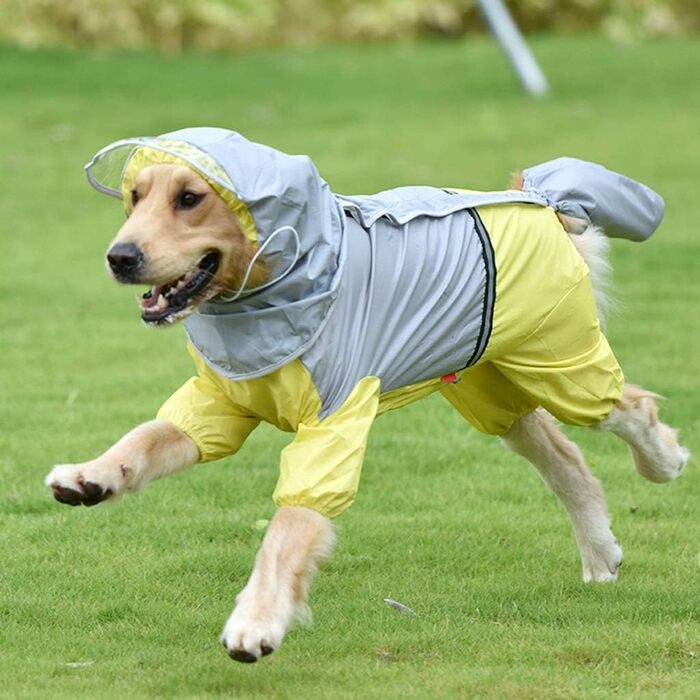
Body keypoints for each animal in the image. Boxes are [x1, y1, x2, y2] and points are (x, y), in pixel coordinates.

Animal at [45, 130, 688, 660]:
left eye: (189, 198)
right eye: (135, 197)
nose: (120, 257)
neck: (275, 293)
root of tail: (543, 201)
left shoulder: (334, 422)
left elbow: (288, 528)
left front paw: (258, 621)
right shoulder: (219, 402)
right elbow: (147, 437)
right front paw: (90, 475)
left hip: (559, 364)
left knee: (631, 407)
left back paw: (664, 462)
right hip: (491, 386)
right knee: (567, 461)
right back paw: (601, 554)